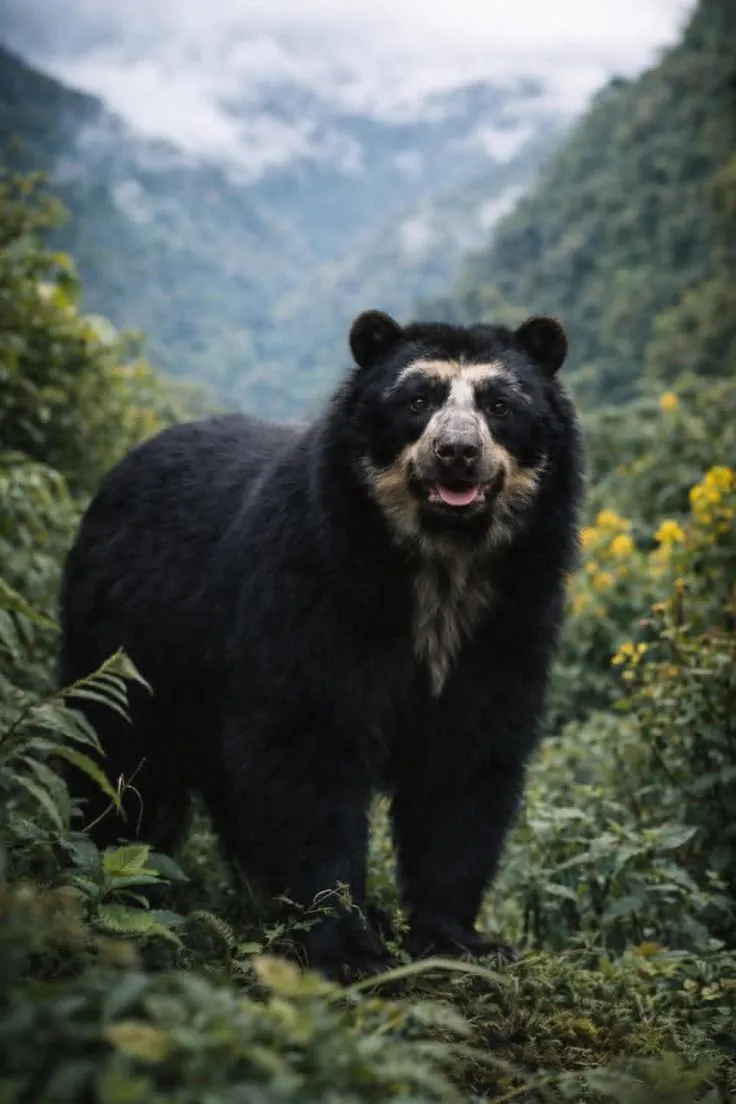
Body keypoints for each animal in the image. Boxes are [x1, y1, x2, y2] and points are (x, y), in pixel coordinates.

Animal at [57, 309, 585, 980]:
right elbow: (307, 748)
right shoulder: (313, 585)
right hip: (126, 637)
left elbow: (466, 764)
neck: (440, 568)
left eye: (500, 405)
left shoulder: (509, 621)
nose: (457, 454)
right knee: (116, 756)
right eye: (417, 401)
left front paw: (460, 941)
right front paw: (347, 947)